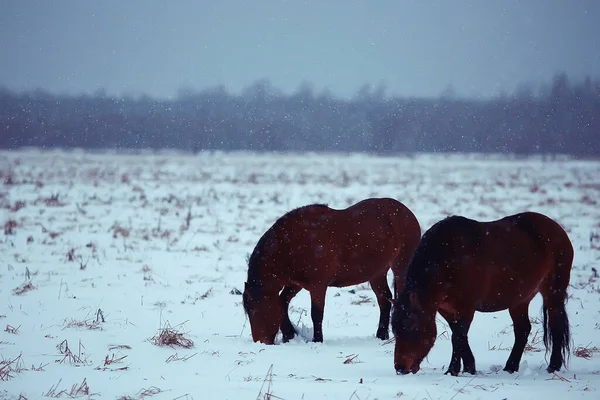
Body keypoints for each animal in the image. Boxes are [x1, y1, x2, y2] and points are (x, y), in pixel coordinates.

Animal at [241, 197, 420, 344]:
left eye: (255, 310)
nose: (261, 342)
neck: (295, 242)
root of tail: (407, 213)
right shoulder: (297, 282)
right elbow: (282, 302)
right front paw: (289, 335)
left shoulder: (318, 285)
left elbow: (316, 313)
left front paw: (317, 340)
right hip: (377, 273)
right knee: (384, 299)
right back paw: (381, 336)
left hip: (401, 266)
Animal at [392, 211, 576, 376]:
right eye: (395, 330)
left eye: (413, 327)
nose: (400, 368)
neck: (447, 260)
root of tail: (557, 229)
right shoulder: (445, 309)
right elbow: (458, 336)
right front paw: (463, 368)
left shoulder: (466, 308)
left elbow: (458, 337)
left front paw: (457, 370)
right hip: (520, 300)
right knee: (523, 329)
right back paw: (510, 367)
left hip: (553, 292)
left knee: (556, 324)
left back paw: (553, 366)